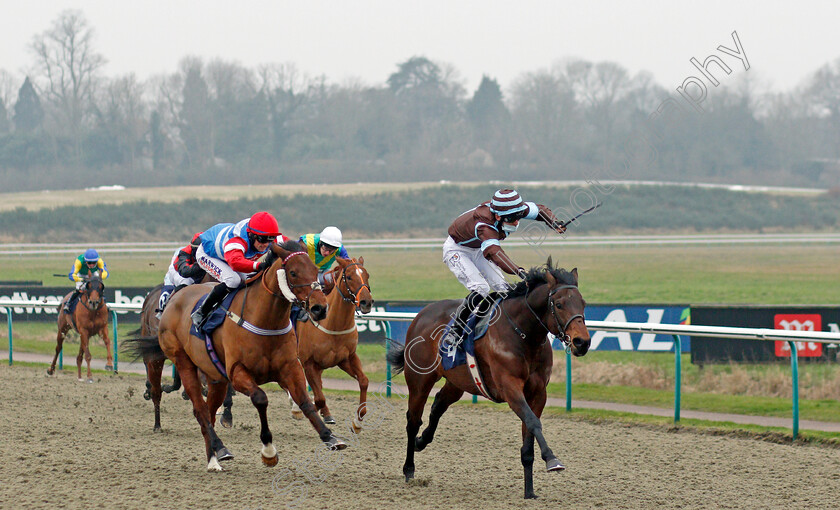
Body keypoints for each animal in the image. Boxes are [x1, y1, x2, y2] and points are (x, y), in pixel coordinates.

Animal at [124, 241, 344, 472]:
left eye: (315, 270)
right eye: (293, 272)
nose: (320, 308)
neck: (265, 320)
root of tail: (173, 300)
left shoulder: (290, 367)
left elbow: (305, 401)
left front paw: (329, 436)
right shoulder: (237, 372)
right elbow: (260, 399)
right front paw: (268, 451)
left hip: (215, 377)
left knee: (208, 412)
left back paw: (213, 459)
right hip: (183, 363)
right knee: (198, 409)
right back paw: (220, 447)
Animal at [296, 255, 374, 430]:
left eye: (367, 275)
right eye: (349, 277)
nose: (366, 302)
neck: (334, 325)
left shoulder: (347, 358)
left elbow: (364, 380)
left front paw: (358, 421)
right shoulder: (308, 363)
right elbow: (318, 399)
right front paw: (300, 410)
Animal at [388, 260, 592, 500]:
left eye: (583, 303)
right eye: (559, 304)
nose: (582, 342)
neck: (524, 334)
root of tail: (421, 314)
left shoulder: (538, 392)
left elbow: (529, 435)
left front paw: (529, 491)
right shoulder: (510, 388)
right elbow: (533, 422)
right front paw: (552, 459)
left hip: (457, 382)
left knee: (438, 404)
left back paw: (422, 441)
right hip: (419, 380)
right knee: (413, 421)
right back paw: (409, 470)